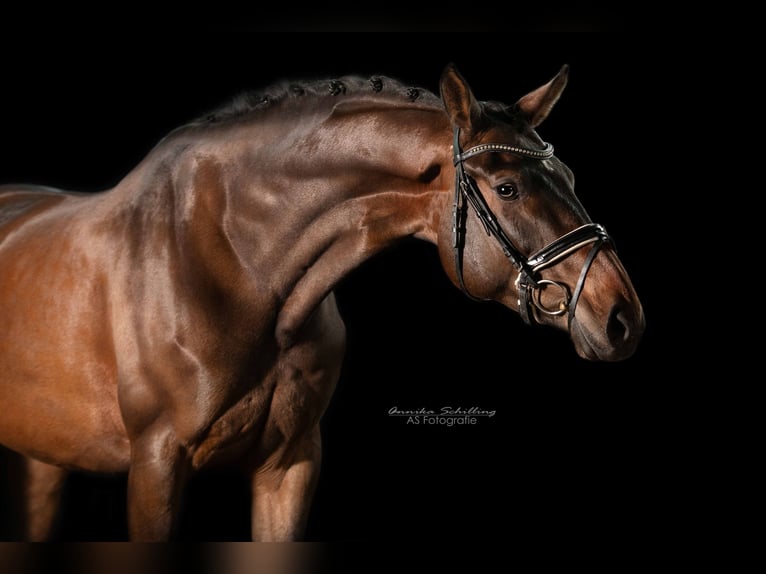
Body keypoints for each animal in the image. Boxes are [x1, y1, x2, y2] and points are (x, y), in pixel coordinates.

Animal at [0, 65, 644, 544]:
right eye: (508, 188)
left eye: (570, 176)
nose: (623, 318)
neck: (241, 267)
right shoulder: (155, 466)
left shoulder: (289, 466)